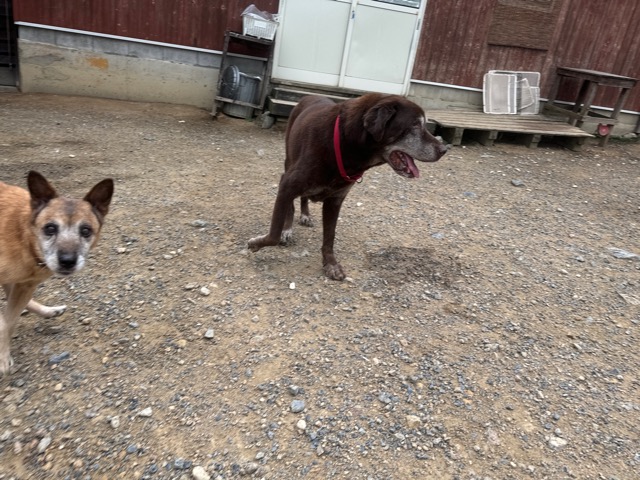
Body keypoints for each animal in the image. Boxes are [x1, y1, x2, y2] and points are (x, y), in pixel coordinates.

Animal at [0, 171, 114, 374]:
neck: (26, 239)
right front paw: (3, 358)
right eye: (50, 228)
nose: (67, 261)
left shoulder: (24, 284)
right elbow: (6, 321)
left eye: (86, 231)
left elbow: (9, 321)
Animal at [248, 93, 448, 280]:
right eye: (415, 125)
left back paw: (305, 215)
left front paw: (330, 264)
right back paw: (288, 228)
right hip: (288, 161)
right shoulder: (287, 184)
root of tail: (310, 96)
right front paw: (257, 243)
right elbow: (274, 235)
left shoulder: (335, 200)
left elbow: (330, 237)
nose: (444, 150)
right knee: (291, 205)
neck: (345, 145)